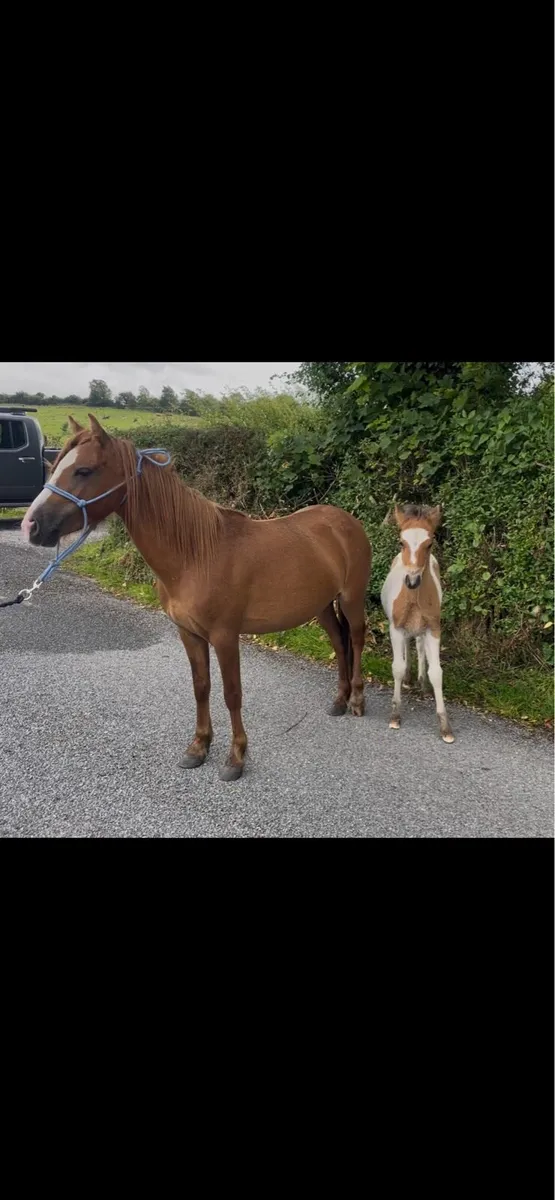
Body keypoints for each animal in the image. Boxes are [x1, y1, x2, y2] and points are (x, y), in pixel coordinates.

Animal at [22, 414, 372, 781]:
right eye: (55, 466)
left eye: (84, 470)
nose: (31, 525)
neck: (195, 555)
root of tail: (346, 521)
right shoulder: (188, 633)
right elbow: (200, 687)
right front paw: (198, 747)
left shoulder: (225, 636)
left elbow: (232, 693)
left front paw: (236, 757)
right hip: (322, 605)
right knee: (339, 642)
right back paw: (339, 700)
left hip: (351, 598)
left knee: (356, 638)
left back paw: (357, 700)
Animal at [381, 504, 454, 743]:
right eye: (401, 542)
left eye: (429, 544)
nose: (412, 581)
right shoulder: (395, 628)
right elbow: (397, 667)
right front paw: (395, 715)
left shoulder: (433, 629)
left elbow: (437, 673)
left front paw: (445, 727)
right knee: (407, 647)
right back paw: (409, 678)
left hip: (422, 629)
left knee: (419, 646)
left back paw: (421, 682)